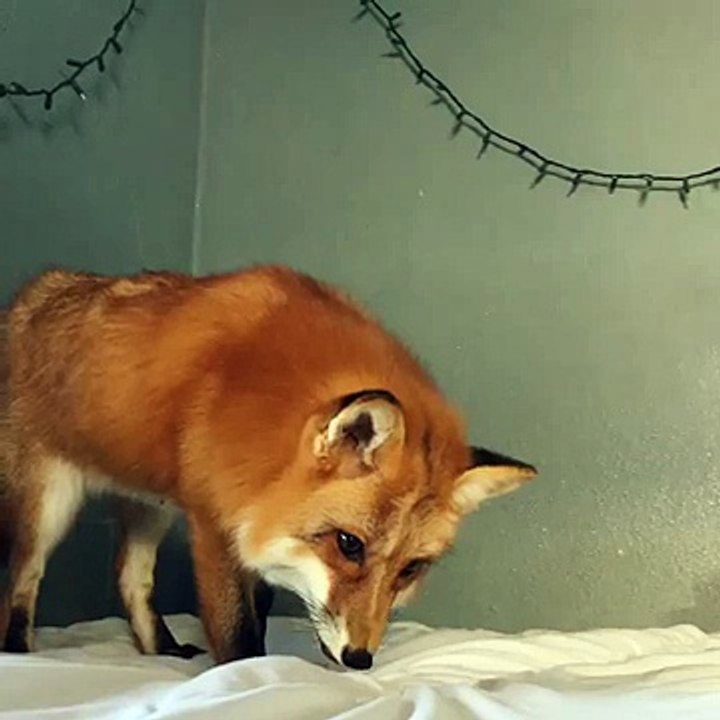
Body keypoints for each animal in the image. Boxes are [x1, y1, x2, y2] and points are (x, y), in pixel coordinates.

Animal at [0, 265, 536, 670]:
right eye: (349, 544)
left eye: (411, 569)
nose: (360, 658)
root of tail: (36, 291)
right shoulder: (217, 522)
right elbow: (237, 630)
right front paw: (247, 678)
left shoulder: (254, 510)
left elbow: (259, 610)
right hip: (47, 504)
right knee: (22, 578)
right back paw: (19, 651)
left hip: (151, 504)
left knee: (130, 578)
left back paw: (162, 651)